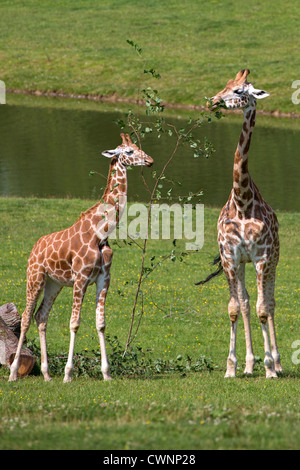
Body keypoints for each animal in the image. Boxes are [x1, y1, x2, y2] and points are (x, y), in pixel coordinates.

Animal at [8, 132, 155, 382]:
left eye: (138, 147)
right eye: (129, 151)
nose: (150, 160)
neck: (101, 232)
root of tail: (34, 247)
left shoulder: (104, 278)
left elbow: (101, 323)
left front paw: (106, 374)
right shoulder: (81, 277)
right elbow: (74, 323)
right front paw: (68, 374)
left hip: (54, 283)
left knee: (41, 316)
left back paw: (47, 375)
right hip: (35, 277)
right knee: (26, 316)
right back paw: (13, 373)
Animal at [203, 69, 282, 378]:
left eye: (239, 91)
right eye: (225, 85)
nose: (212, 101)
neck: (243, 201)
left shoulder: (262, 257)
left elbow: (263, 308)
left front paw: (270, 368)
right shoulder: (230, 257)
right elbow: (236, 308)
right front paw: (232, 367)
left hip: (272, 262)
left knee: (269, 302)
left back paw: (277, 362)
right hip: (243, 264)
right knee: (248, 302)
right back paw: (250, 365)